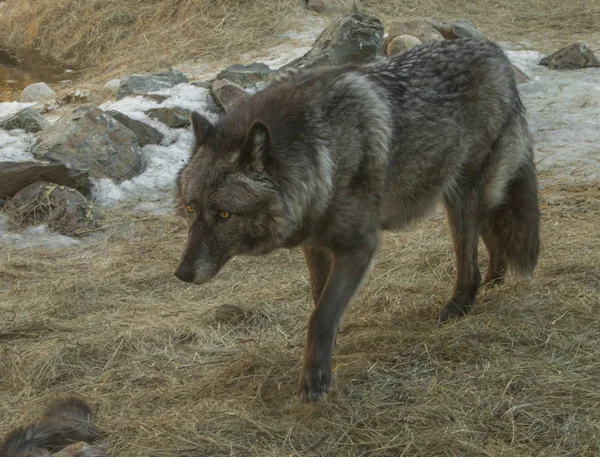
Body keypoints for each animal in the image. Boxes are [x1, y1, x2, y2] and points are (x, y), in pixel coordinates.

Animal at [172, 37, 540, 400]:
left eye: (224, 214)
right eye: (191, 208)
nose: (182, 273)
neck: (323, 155)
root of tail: (493, 50)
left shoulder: (360, 246)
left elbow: (322, 313)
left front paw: (315, 379)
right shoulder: (315, 244)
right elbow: (319, 299)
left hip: (463, 195)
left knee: (471, 259)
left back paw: (459, 305)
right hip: (457, 195)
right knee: (489, 230)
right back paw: (493, 282)